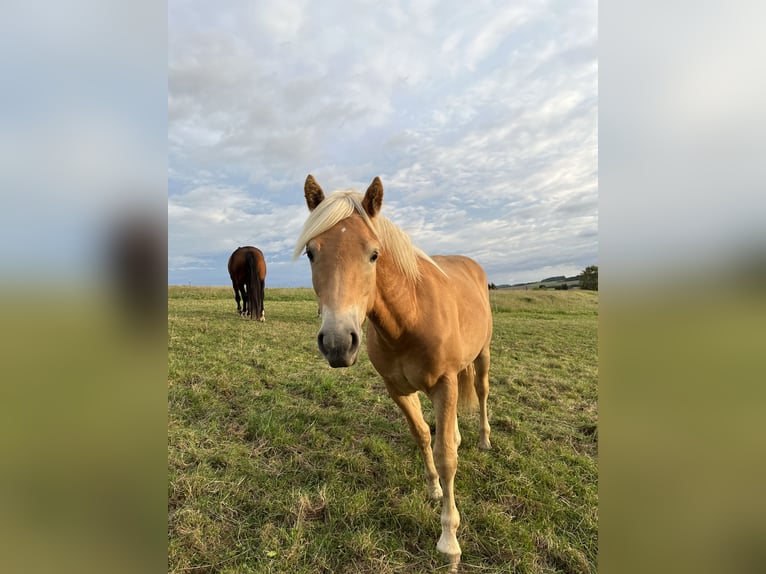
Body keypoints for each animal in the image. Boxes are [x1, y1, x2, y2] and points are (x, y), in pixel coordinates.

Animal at [294, 175, 492, 571]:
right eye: (311, 252)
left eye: (374, 253)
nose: (338, 342)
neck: (410, 318)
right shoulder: (397, 389)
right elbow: (423, 436)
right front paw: (433, 488)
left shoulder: (445, 384)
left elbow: (446, 455)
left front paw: (450, 542)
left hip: (482, 357)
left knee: (481, 392)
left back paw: (483, 439)